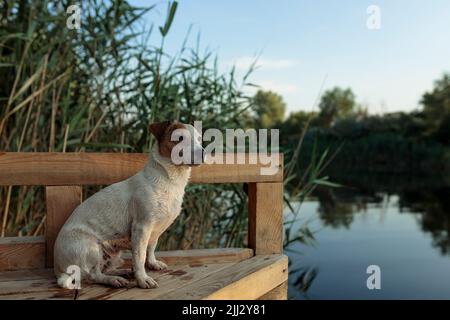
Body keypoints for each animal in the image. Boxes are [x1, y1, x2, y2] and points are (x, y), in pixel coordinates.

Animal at [53, 120, 206, 290]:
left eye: (199, 139)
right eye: (179, 138)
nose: (203, 153)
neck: (169, 179)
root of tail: (58, 270)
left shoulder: (156, 230)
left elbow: (151, 248)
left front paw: (152, 263)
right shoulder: (141, 227)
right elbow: (140, 257)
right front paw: (142, 279)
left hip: (110, 254)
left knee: (103, 269)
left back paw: (121, 272)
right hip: (90, 247)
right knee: (93, 275)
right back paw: (113, 280)